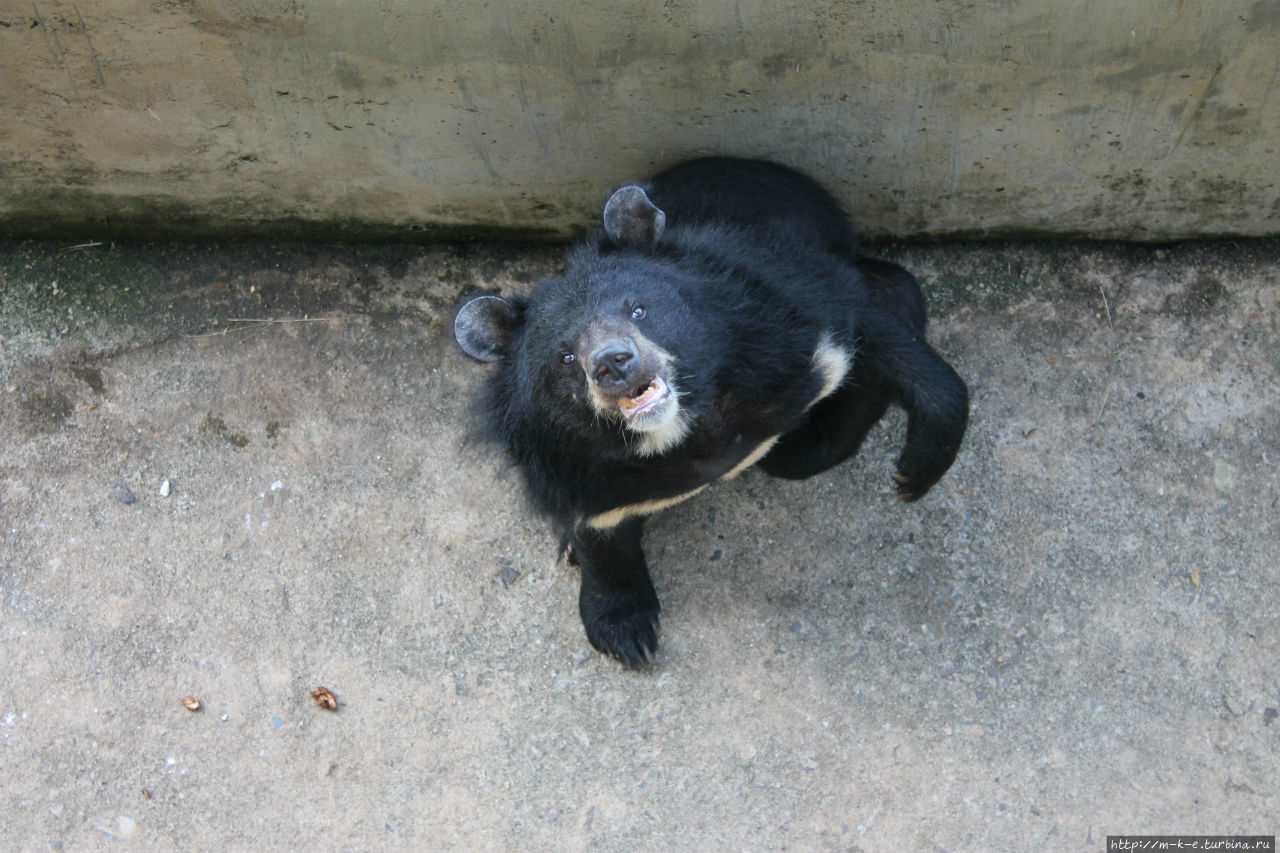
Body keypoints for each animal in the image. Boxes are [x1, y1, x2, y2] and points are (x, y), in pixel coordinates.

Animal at [455, 157, 962, 666]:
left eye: (638, 310)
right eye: (565, 356)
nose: (612, 364)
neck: (688, 429)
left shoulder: (785, 310)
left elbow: (876, 335)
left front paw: (909, 475)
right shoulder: (573, 467)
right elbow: (598, 534)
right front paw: (625, 632)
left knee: (899, 290)